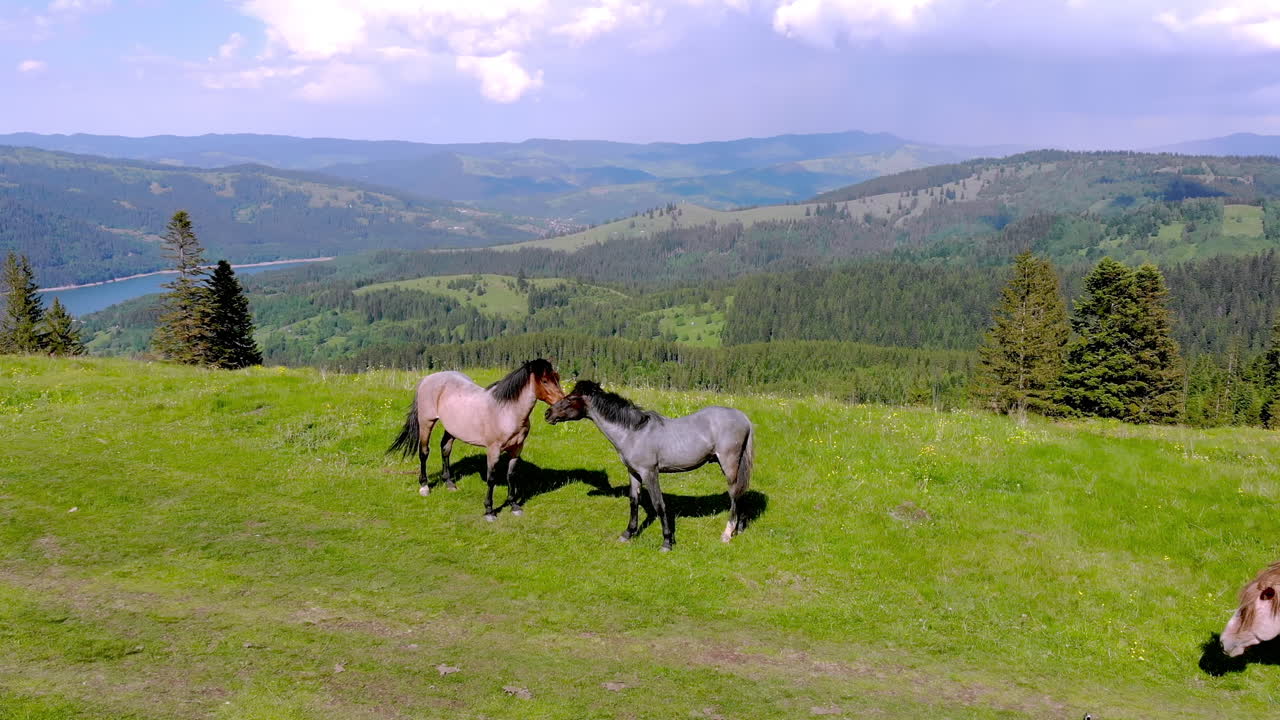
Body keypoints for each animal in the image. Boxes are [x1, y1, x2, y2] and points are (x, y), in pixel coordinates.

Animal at [388, 359, 565, 520]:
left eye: (557, 377)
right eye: (544, 380)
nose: (557, 408)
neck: (507, 411)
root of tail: (427, 379)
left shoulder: (517, 448)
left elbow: (511, 475)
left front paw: (514, 506)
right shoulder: (493, 450)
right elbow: (491, 478)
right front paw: (489, 511)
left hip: (452, 428)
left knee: (445, 449)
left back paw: (449, 483)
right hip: (426, 422)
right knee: (424, 452)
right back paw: (424, 487)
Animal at [544, 380, 754, 551]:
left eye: (571, 398)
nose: (548, 413)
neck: (633, 433)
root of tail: (743, 417)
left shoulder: (650, 473)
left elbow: (659, 504)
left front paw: (667, 542)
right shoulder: (634, 473)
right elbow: (633, 501)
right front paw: (628, 534)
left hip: (729, 464)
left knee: (734, 494)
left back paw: (727, 533)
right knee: (740, 493)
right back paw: (739, 529)